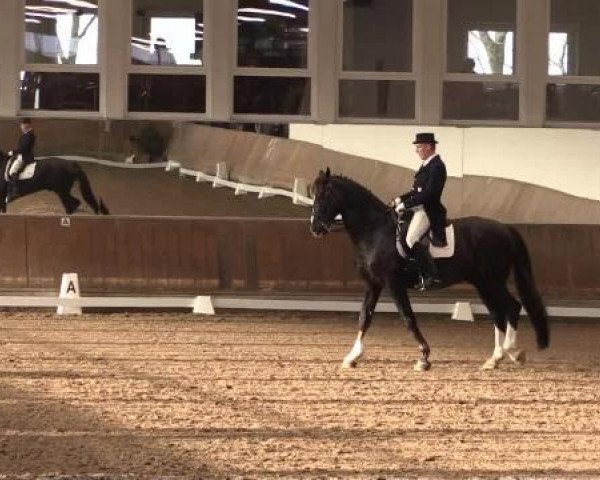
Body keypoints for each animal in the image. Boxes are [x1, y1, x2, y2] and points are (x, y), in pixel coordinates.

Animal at [312, 169, 552, 372]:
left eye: (323, 196)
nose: (315, 228)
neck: (375, 230)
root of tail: (505, 228)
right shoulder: (374, 284)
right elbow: (364, 317)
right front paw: (352, 357)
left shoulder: (393, 284)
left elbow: (408, 318)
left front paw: (424, 357)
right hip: (483, 283)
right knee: (498, 314)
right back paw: (495, 358)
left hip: (493, 280)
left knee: (511, 307)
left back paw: (512, 352)